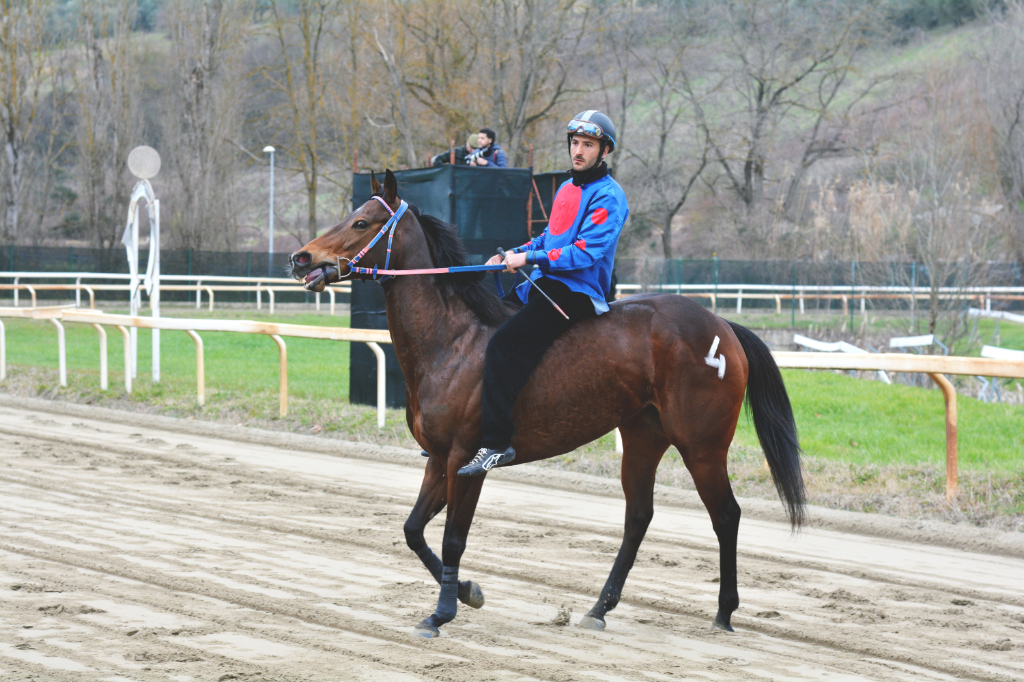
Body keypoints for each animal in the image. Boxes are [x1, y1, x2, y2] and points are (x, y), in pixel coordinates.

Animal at [290, 169, 806, 638]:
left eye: (361, 222)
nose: (301, 257)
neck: (453, 342)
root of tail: (722, 325)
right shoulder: (438, 459)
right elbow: (413, 530)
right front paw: (468, 592)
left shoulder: (466, 461)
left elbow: (453, 539)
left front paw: (441, 614)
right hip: (643, 435)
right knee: (638, 516)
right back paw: (599, 608)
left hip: (701, 443)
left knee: (726, 515)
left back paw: (724, 612)